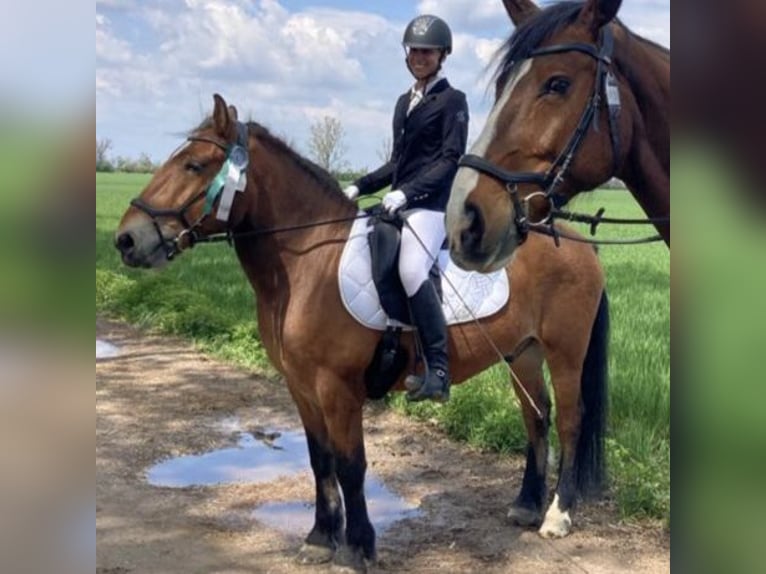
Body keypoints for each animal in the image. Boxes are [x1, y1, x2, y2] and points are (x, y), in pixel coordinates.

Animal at [115, 95, 612, 574]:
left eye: (194, 165)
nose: (127, 240)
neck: (308, 260)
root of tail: (576, 242)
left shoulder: (337, 388)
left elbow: (350, 464)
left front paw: (357, 548)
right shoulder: (300, 387)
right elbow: (320, 461)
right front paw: (319, 539)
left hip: (564, 353)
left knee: (569, 420)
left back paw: (557, 515)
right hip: (522, 353)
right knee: (536, 416)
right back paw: (526, 506)